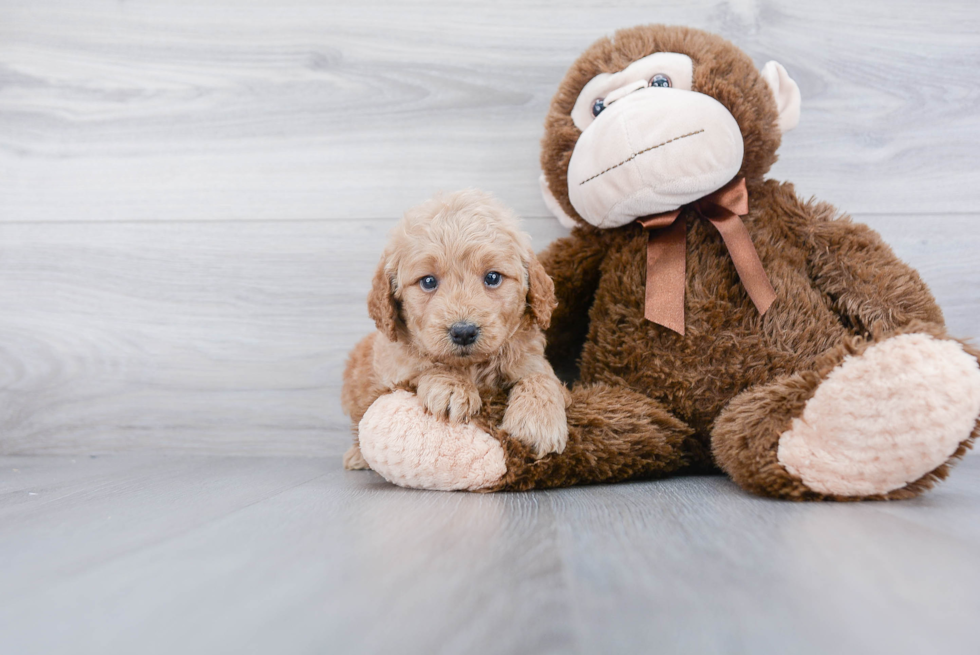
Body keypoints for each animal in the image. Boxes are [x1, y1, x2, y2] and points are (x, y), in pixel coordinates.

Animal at [342, 187, 568, 468]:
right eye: (428, 281)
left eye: (492, 277)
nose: (463, 332)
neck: (472, 367)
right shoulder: (395, 367)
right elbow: (426, 364)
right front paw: (452, 388)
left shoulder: (532, 359)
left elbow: (541, 376)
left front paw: (538, 421)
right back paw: (356, 455)